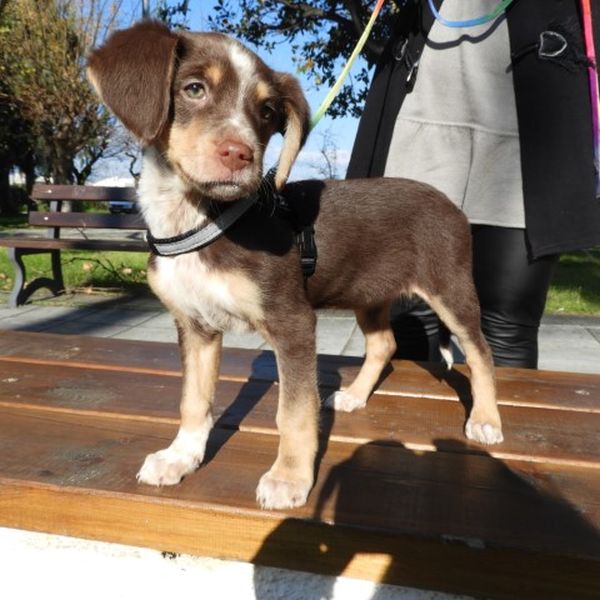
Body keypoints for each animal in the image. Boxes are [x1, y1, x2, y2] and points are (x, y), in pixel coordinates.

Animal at [87, 20, 503, 510]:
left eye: (267, 112)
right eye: (193, 89)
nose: (240, 155)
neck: (201, 219)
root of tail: (452, 205)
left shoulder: (293, 322)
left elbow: (294, 412)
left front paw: (289, 477)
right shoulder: (195, 327)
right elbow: (194, 401)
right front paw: (181, 457)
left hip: (450, 289)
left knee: (480, 352)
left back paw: (486, 419)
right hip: (369, 292)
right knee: (384, 344)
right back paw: (355, 396)